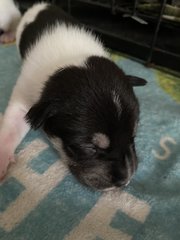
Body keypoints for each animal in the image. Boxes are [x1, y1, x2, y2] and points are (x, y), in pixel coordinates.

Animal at [0, 1, 146, 189]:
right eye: (89, 148)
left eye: (133, 137)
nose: (124, 181)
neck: (72, 58)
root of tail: (41, 4)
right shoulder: (24, 94)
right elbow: (10, 129)